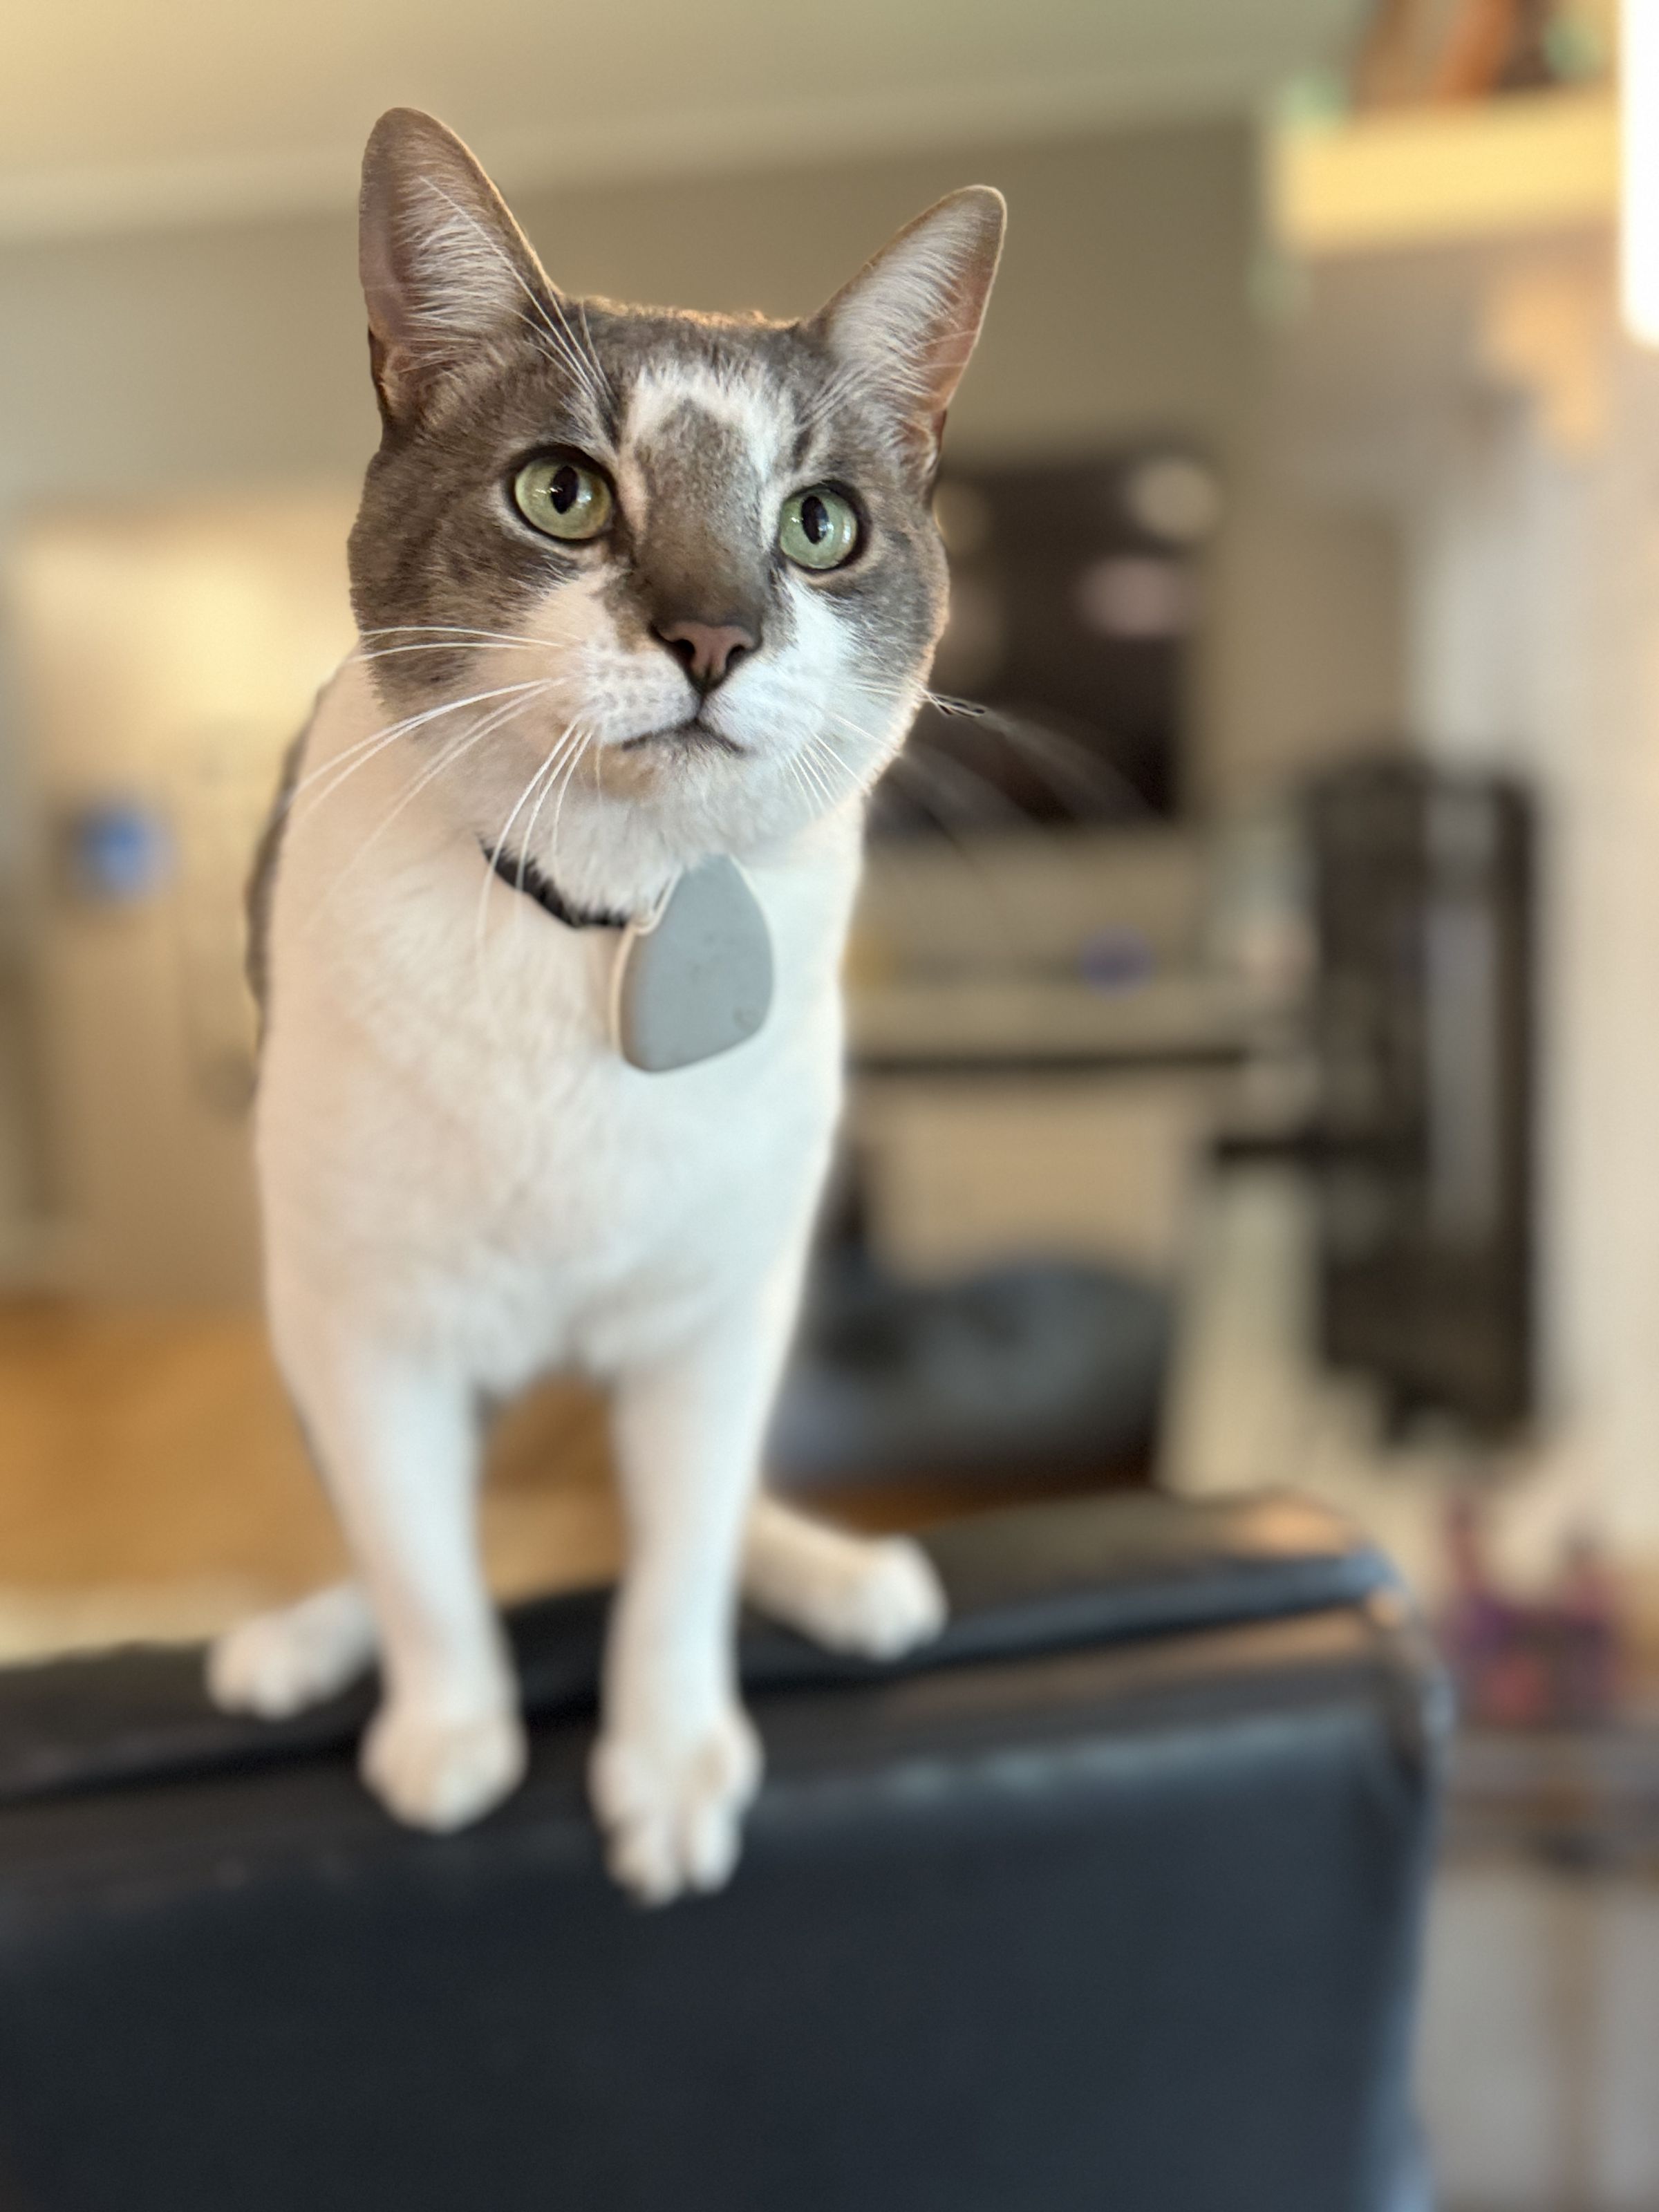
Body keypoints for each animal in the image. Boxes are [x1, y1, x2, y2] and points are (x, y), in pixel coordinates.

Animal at [201, 108, 1009, 1902]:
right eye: (562, 492)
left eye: (819, 523)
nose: (711, 633)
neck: (614, 910)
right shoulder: (368, 1323)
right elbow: (423, 1557)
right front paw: (450, 1737)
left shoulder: (717, 1314)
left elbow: (678, 1557)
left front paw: (670, 1762)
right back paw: (298, 1645)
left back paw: (843, 1578)